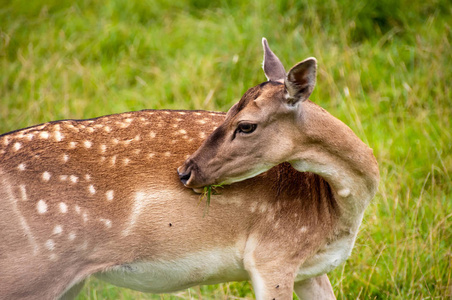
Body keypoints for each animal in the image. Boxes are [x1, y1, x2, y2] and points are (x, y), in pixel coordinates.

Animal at [0, 38, 378, 298]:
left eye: (245, 124)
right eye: (229, 111)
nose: (185, 171)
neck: (333, 211)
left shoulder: (309, 269)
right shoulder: (272, 255)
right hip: (30, 272)